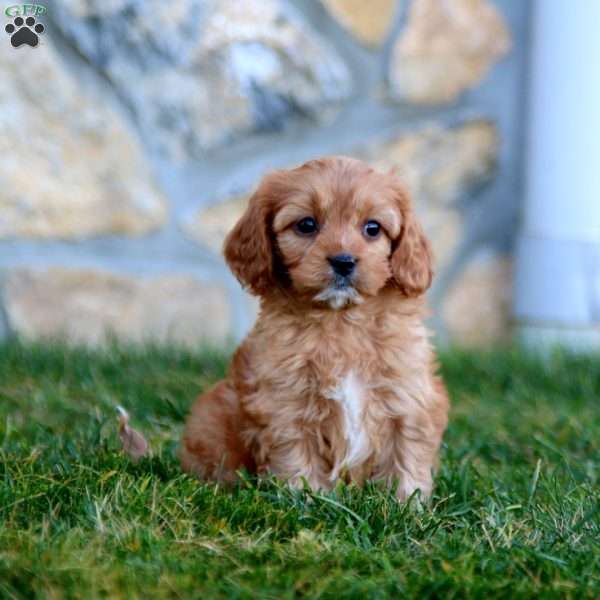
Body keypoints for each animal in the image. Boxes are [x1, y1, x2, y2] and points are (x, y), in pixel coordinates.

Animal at [180, 156, 448, 502]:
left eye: (373, 228)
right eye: (306, 224)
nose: (343, 261)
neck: (341, 320)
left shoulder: (407, 392)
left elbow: (406, 449)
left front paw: (405, 502)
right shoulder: (286, 400)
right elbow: (296, 453)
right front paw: (306, 498)